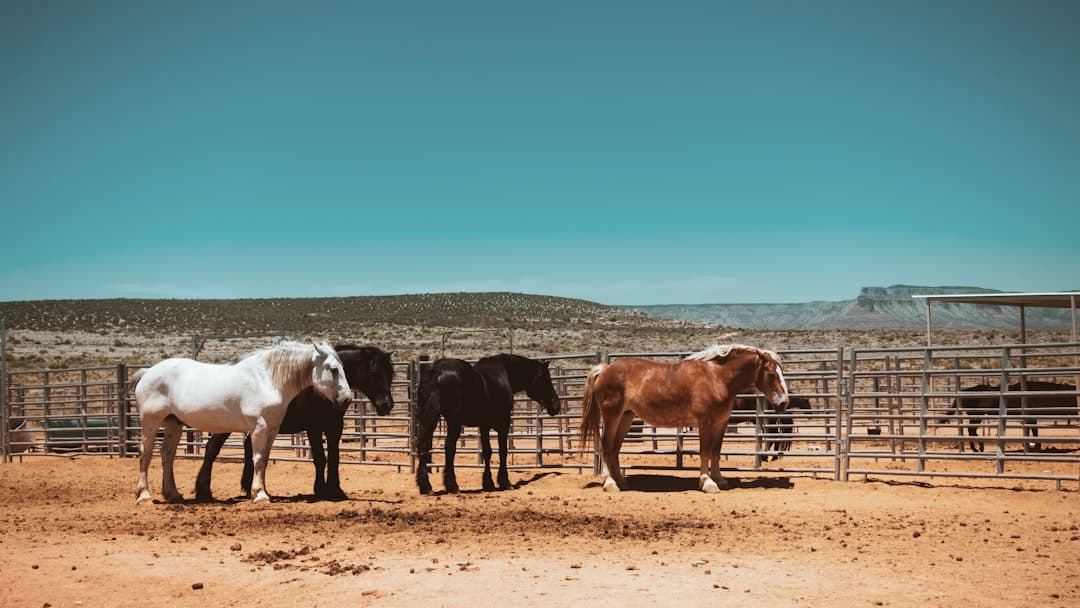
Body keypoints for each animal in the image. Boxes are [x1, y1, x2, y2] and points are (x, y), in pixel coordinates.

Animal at [132, 340, 352, 505]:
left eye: (344, 367)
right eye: (333, 369)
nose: (347, 399)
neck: (267, 380)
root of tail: (147, 373)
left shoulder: (272, 430)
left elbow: (264, 460)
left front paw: (263, 492)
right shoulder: (259, 428)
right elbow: (258, 460)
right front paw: (260, 495)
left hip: (173, 423)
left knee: (167, 455)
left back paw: (173, 494)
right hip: (151, 422)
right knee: (146, 454)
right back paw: (144, 496)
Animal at [194, 345, 395, 501]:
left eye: (390, 373)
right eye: (373, 371)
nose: (387, 405)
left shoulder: (334, 427)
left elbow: (334, 457)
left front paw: (336, 490)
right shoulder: (314, 427)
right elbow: (320, 458)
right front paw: (320, 490)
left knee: (247, 449)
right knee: (212, 449)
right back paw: (203, 490)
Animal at [414, 354, 561, 494]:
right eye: (545, 378)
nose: (556, 406)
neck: (504, 373)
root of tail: (436, 371)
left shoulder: (484, 426)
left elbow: (487, 451)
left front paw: (488, 483)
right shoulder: (504, 423)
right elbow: (502, 451)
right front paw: (504, 482)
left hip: (429, 419)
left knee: (424, 446)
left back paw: (426, 487)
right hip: (453, 422)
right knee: (449, 447)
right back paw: (452, 486)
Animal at [579, 344, 790, 493]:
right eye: (771, 373)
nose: (784, 403)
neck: (716, 378)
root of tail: (604, 369)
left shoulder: (721, 422)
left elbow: (716, 451)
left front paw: (720, 479)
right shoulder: (705, 422)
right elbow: (705, 451)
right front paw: (707, 483)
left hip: (625, 418)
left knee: (614, 448)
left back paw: (622, 481)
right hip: (612, 416)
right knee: (606, 446)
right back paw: (610, 483)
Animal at [940, 381, 1078, 452]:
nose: (1076, 412)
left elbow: (1031, 431)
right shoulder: (1031, 416)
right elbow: (1034, 431)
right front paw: (1037, 446)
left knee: (971, 430)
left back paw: (978, 447)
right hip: (976, 415)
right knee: (971, 430)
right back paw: (978, 447)